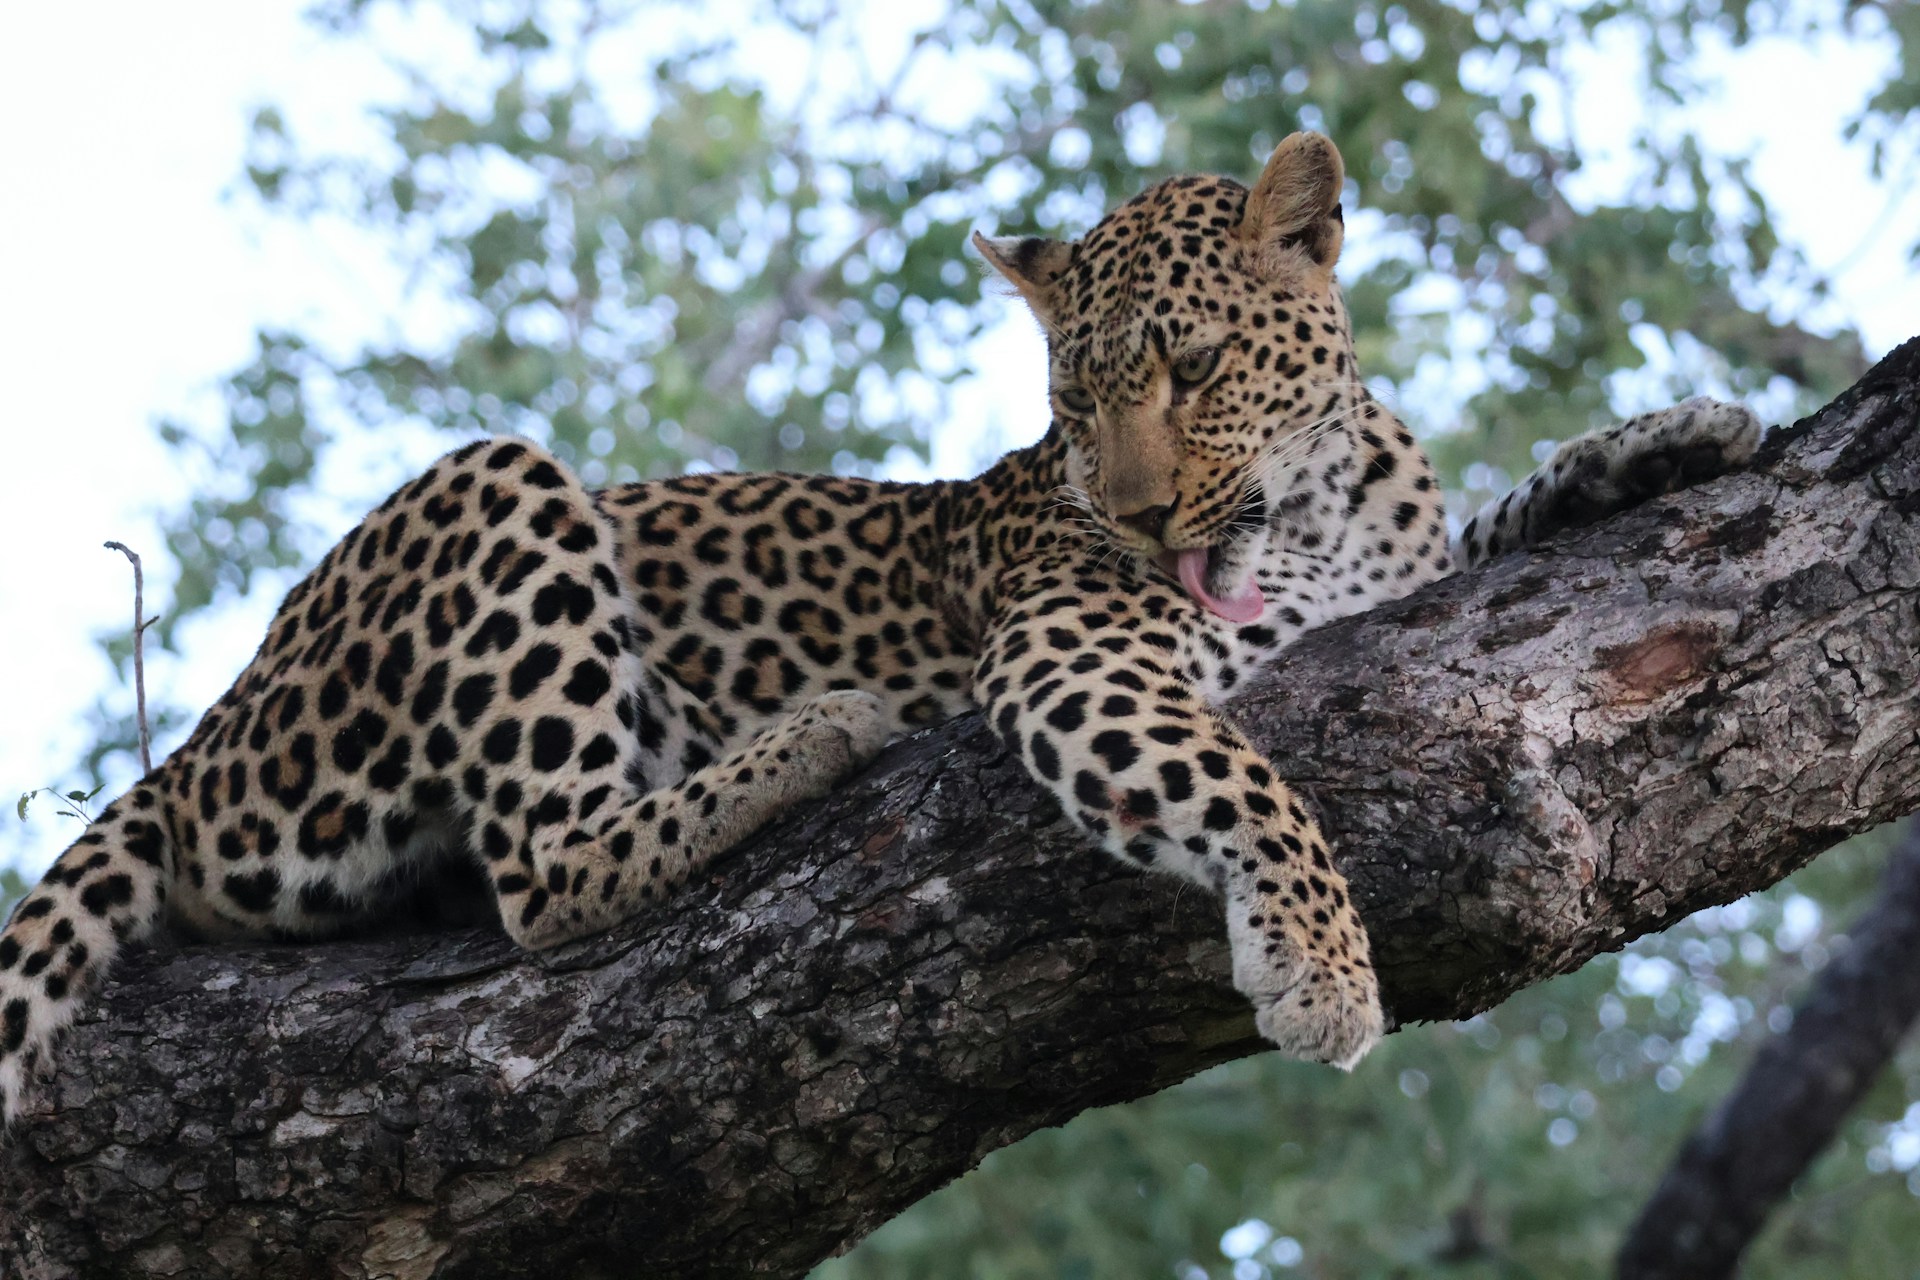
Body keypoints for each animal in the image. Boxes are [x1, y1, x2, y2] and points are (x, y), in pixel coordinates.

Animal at [0, 131, 1761, 1123]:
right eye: (1071, 404)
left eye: (1190, 368)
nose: (1138, 516)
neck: (1313, 516)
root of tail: (201, 741)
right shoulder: (1071, 650)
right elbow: (1247, 780)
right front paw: (1321, 966)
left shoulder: (1399, 569)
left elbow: (1497, 518)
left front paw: (1667, 438)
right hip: (493, 489)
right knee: (544, 874)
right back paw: (808, 738)